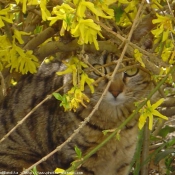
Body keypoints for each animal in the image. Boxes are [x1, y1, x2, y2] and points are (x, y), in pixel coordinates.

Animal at [0, 52, 152, 175]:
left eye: (131, 71)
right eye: (98, 69)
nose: (115, 91)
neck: (115, 123)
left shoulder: (122, 163)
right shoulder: (76, 160)